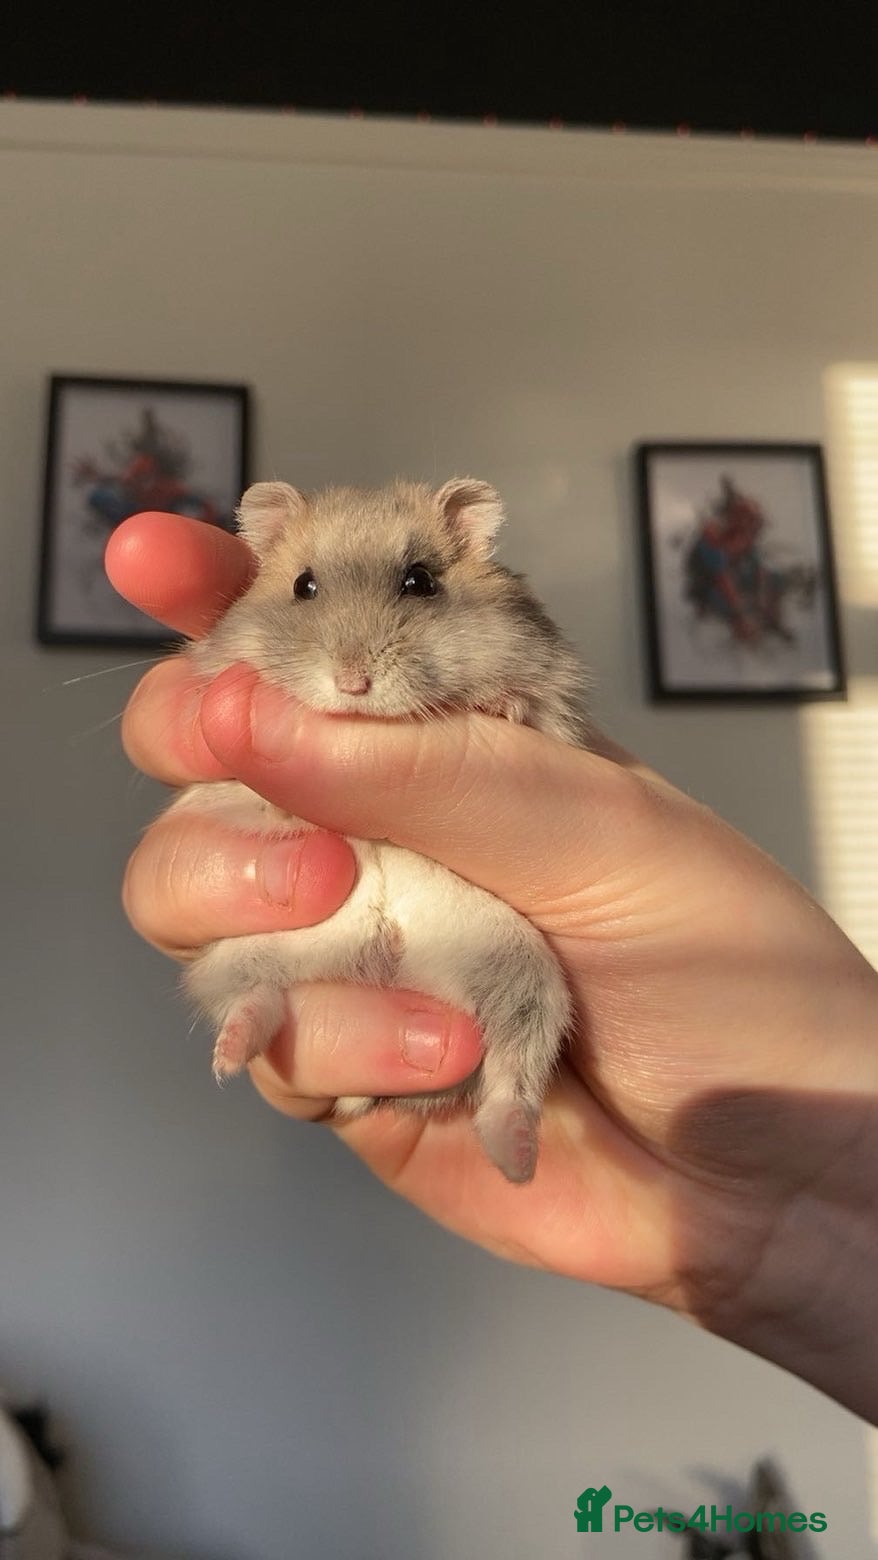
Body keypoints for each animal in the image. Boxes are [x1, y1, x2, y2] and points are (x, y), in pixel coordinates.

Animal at [166, 477, 592, 1183]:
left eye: (420, 582)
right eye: (303, 586)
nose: (352, 682)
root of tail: (383, 967)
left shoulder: (557, 712)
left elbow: (527, 710)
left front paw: (495, 706)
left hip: (527, 975)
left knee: (512, 1074)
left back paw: (517, 1160)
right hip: (237, 959)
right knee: (259, 1001)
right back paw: (230, 1054)